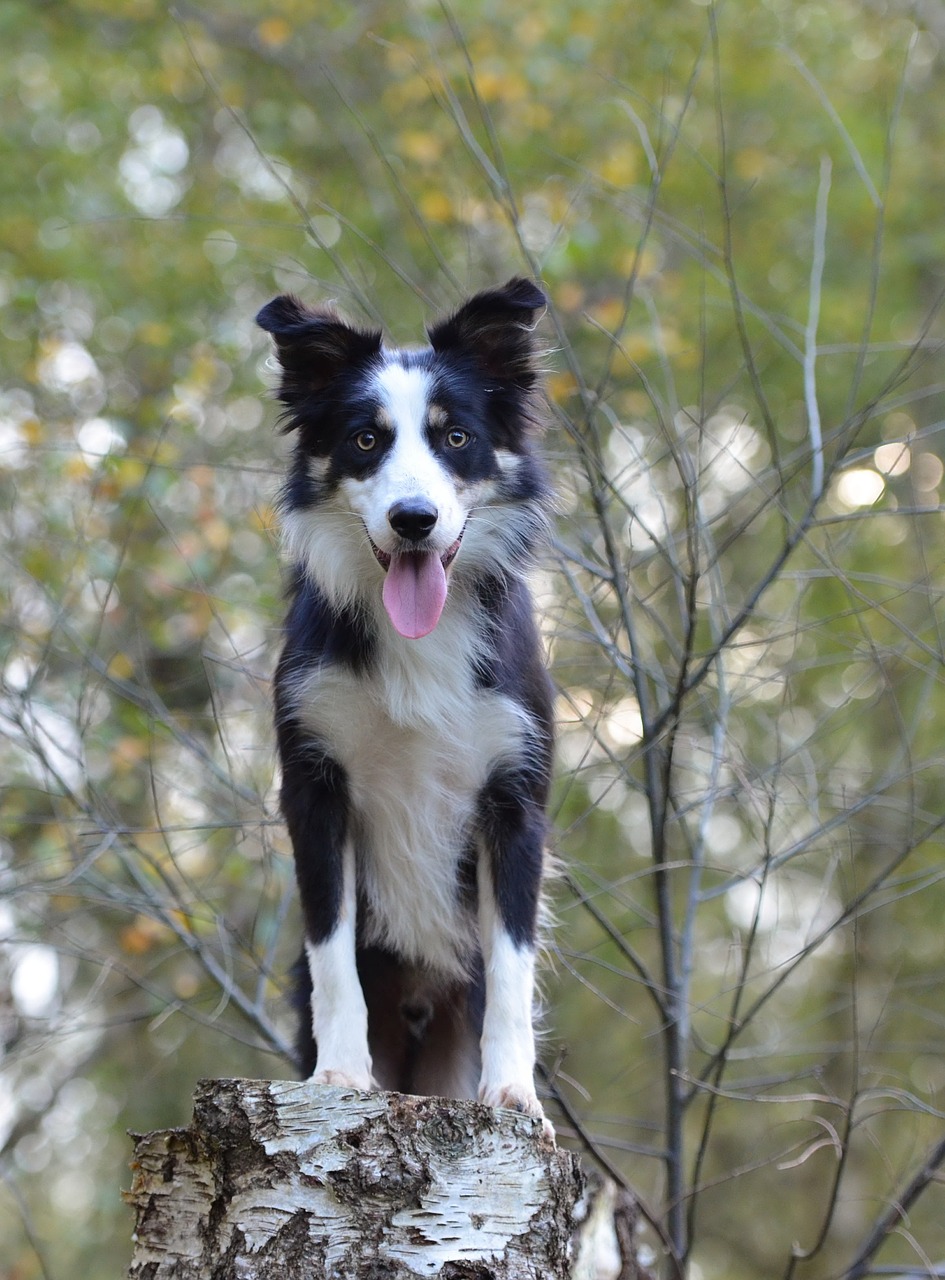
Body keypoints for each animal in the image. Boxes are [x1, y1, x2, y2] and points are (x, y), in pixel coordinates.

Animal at [257, 277, 553, 1131]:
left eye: (454, 437)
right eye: (365, 441)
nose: (413, 520)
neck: (418, 635)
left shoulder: (514, 798)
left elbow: (513, 965)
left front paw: (515, 1092)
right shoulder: (315, 786)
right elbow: (332, 955)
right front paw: (340, 1076)